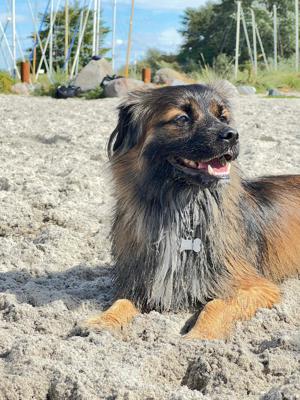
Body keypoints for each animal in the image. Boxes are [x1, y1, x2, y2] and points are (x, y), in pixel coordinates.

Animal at [85, 84, 300, 340]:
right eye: (182, 118)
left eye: (222, 116)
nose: (233, 135)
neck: (182, 210)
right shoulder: (141, 285)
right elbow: (121, 303)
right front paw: (102, 321)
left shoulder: (258, 286)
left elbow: (217, 305)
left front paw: (198, 337)